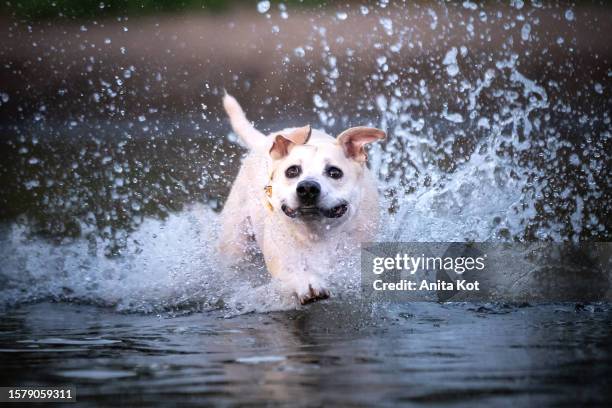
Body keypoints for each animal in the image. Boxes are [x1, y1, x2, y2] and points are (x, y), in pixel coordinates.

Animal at [218, 92, 384, 302]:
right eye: (292, 171)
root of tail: (265, 141)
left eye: (334, 172)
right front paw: (308, 283)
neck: (316, 234)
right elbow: (293, 274)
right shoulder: (282, 261)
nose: (307, 188)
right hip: (235, 243)